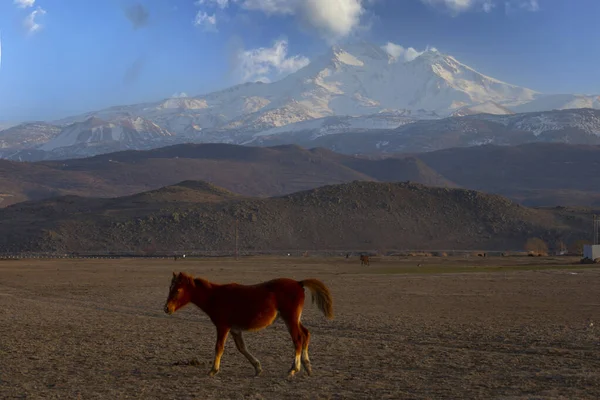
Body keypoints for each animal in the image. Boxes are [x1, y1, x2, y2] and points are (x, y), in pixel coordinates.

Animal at [163, 272, 332, 378]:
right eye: (169, 288)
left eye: (177, 290)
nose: (166, 308)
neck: (215, 296)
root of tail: (298, 283)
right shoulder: (235, 329)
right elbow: (242, 348)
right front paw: (257, 368)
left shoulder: (223, 326)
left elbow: (219, 347)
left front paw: (213, 370)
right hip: (294, 319)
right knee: (306, 334)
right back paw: (306, 366)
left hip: (290, 319)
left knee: (297, 339)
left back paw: (294, 369)